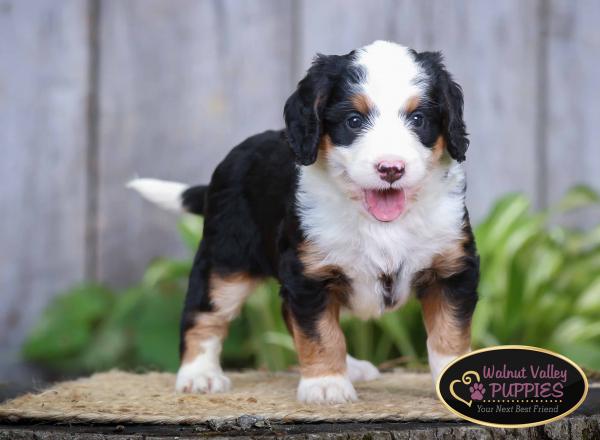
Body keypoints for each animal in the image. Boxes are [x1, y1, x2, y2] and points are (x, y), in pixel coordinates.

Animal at [130, 39, 478, 404]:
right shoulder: (310, 276)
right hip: (226, 261)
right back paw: (200, 376)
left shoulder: (451, 271)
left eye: (418, 119)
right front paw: (326, 384)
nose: (391, 168)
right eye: (354, 120)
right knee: (205, 314)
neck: (378, 219)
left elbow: (449, 333)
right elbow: (321, 333)